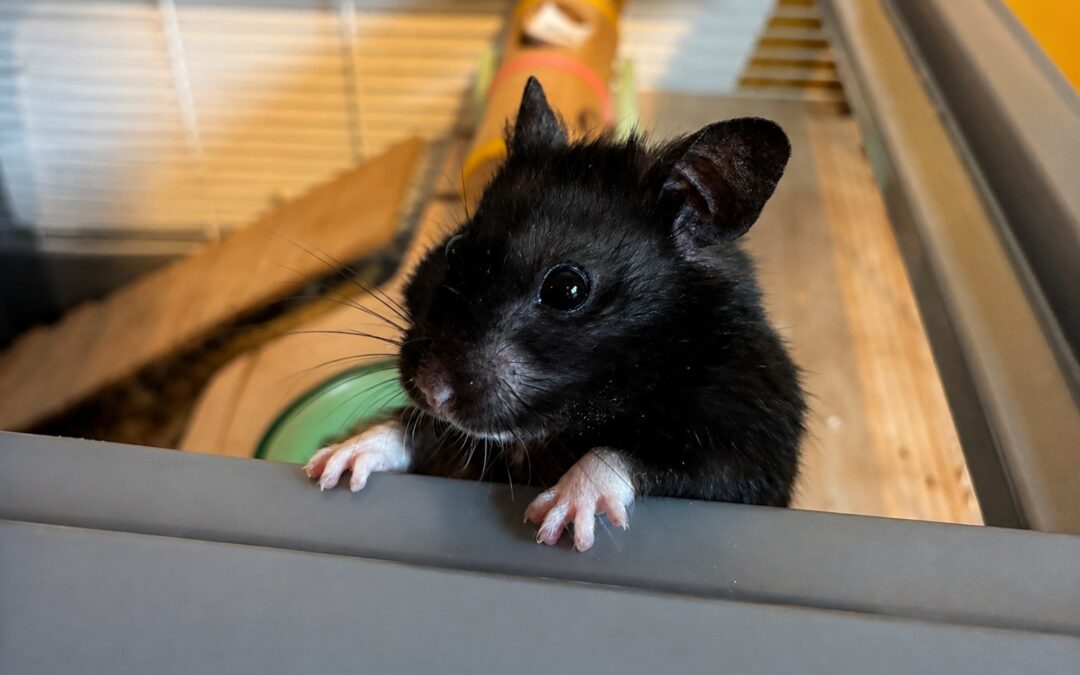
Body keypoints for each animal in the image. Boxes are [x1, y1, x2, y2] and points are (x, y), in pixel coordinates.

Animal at [306, 77, 807, 551]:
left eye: (567, 289)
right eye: (454, 250)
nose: (433, 391)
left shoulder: (746, 453)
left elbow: (625, 455)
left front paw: (554, 524)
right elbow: (415, 430)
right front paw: (333, 466)